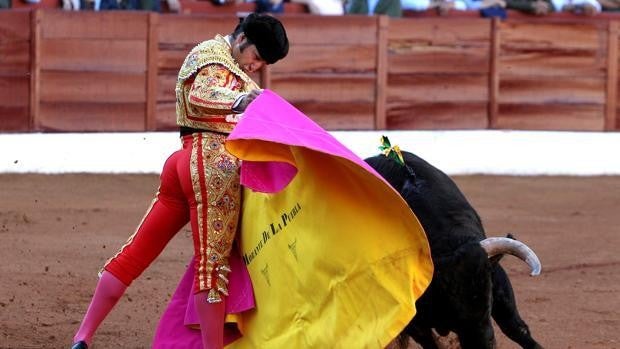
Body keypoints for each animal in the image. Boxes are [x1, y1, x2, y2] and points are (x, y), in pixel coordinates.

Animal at [366, 151, 544, 348]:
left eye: (488, 299)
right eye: (449, 303)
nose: (482, 344)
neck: (447, 244)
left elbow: (517, 329)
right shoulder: (412, 321)